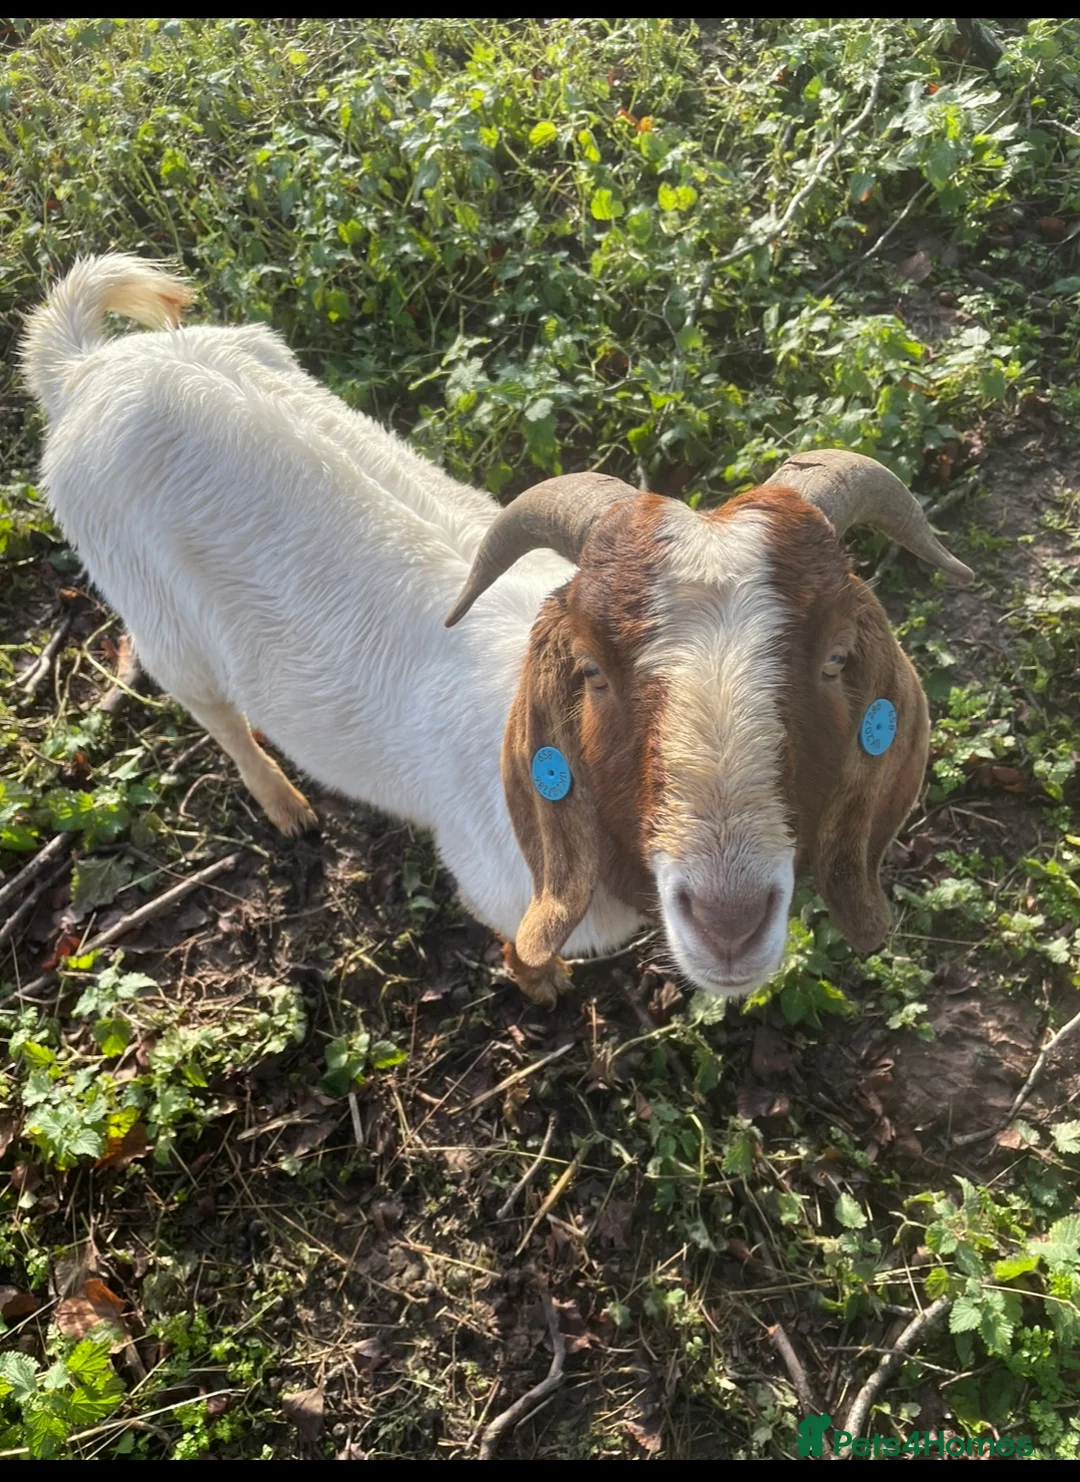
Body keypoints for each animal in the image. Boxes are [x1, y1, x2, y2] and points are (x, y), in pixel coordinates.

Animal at [22, 255, 974, 1006]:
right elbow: (519, 944)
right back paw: (287, 807)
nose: (729, 921)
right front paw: (541, 982)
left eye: (836, 658)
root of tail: (84, 369)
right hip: (154, 616)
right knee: (211, 710)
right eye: (589, 670)